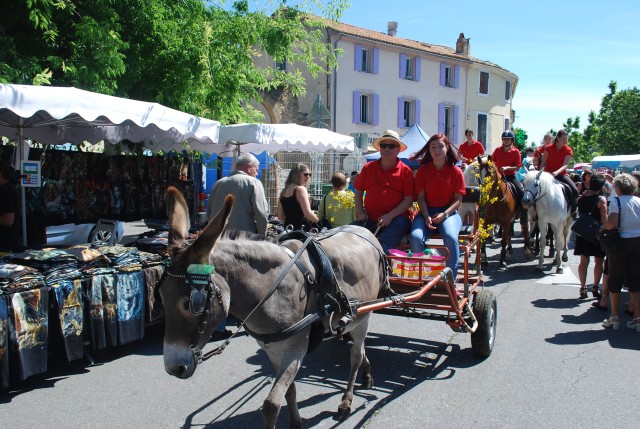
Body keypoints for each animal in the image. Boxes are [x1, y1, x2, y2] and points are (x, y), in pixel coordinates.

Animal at [160, 186, 388, 426]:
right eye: (161, 297)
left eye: (192, 303)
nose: (173, 368)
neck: (272, 289)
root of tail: (366, 231)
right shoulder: (272, 350)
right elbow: (289, 391)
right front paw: (296, 423)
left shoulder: (296, 349)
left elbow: (271, 405)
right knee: (357, 346)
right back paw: (366, 373)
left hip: (364, 315)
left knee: (355, 354)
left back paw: (346, 402)